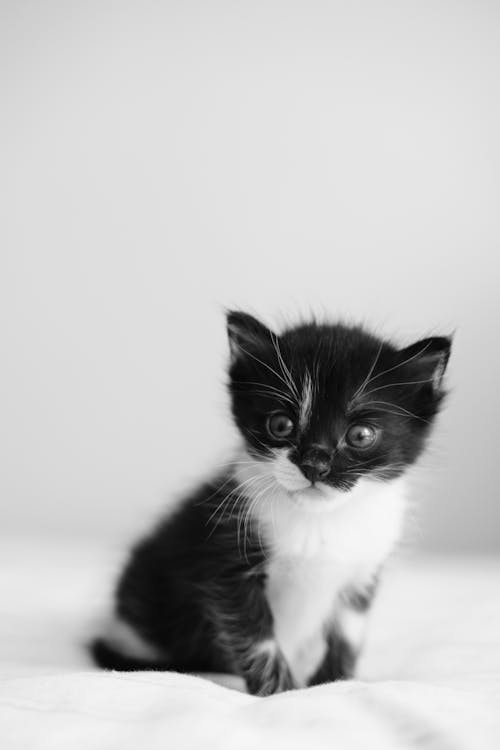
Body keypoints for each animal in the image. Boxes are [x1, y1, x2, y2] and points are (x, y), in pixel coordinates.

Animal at [91, 312, 454, 700]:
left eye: (360, 435)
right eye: (281, 424)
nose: (315, 464)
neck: (319, 520)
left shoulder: (363, 569)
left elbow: (347, 635)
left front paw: (334, 685)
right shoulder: (228, 558)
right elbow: (255, 635)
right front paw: (281, 693)